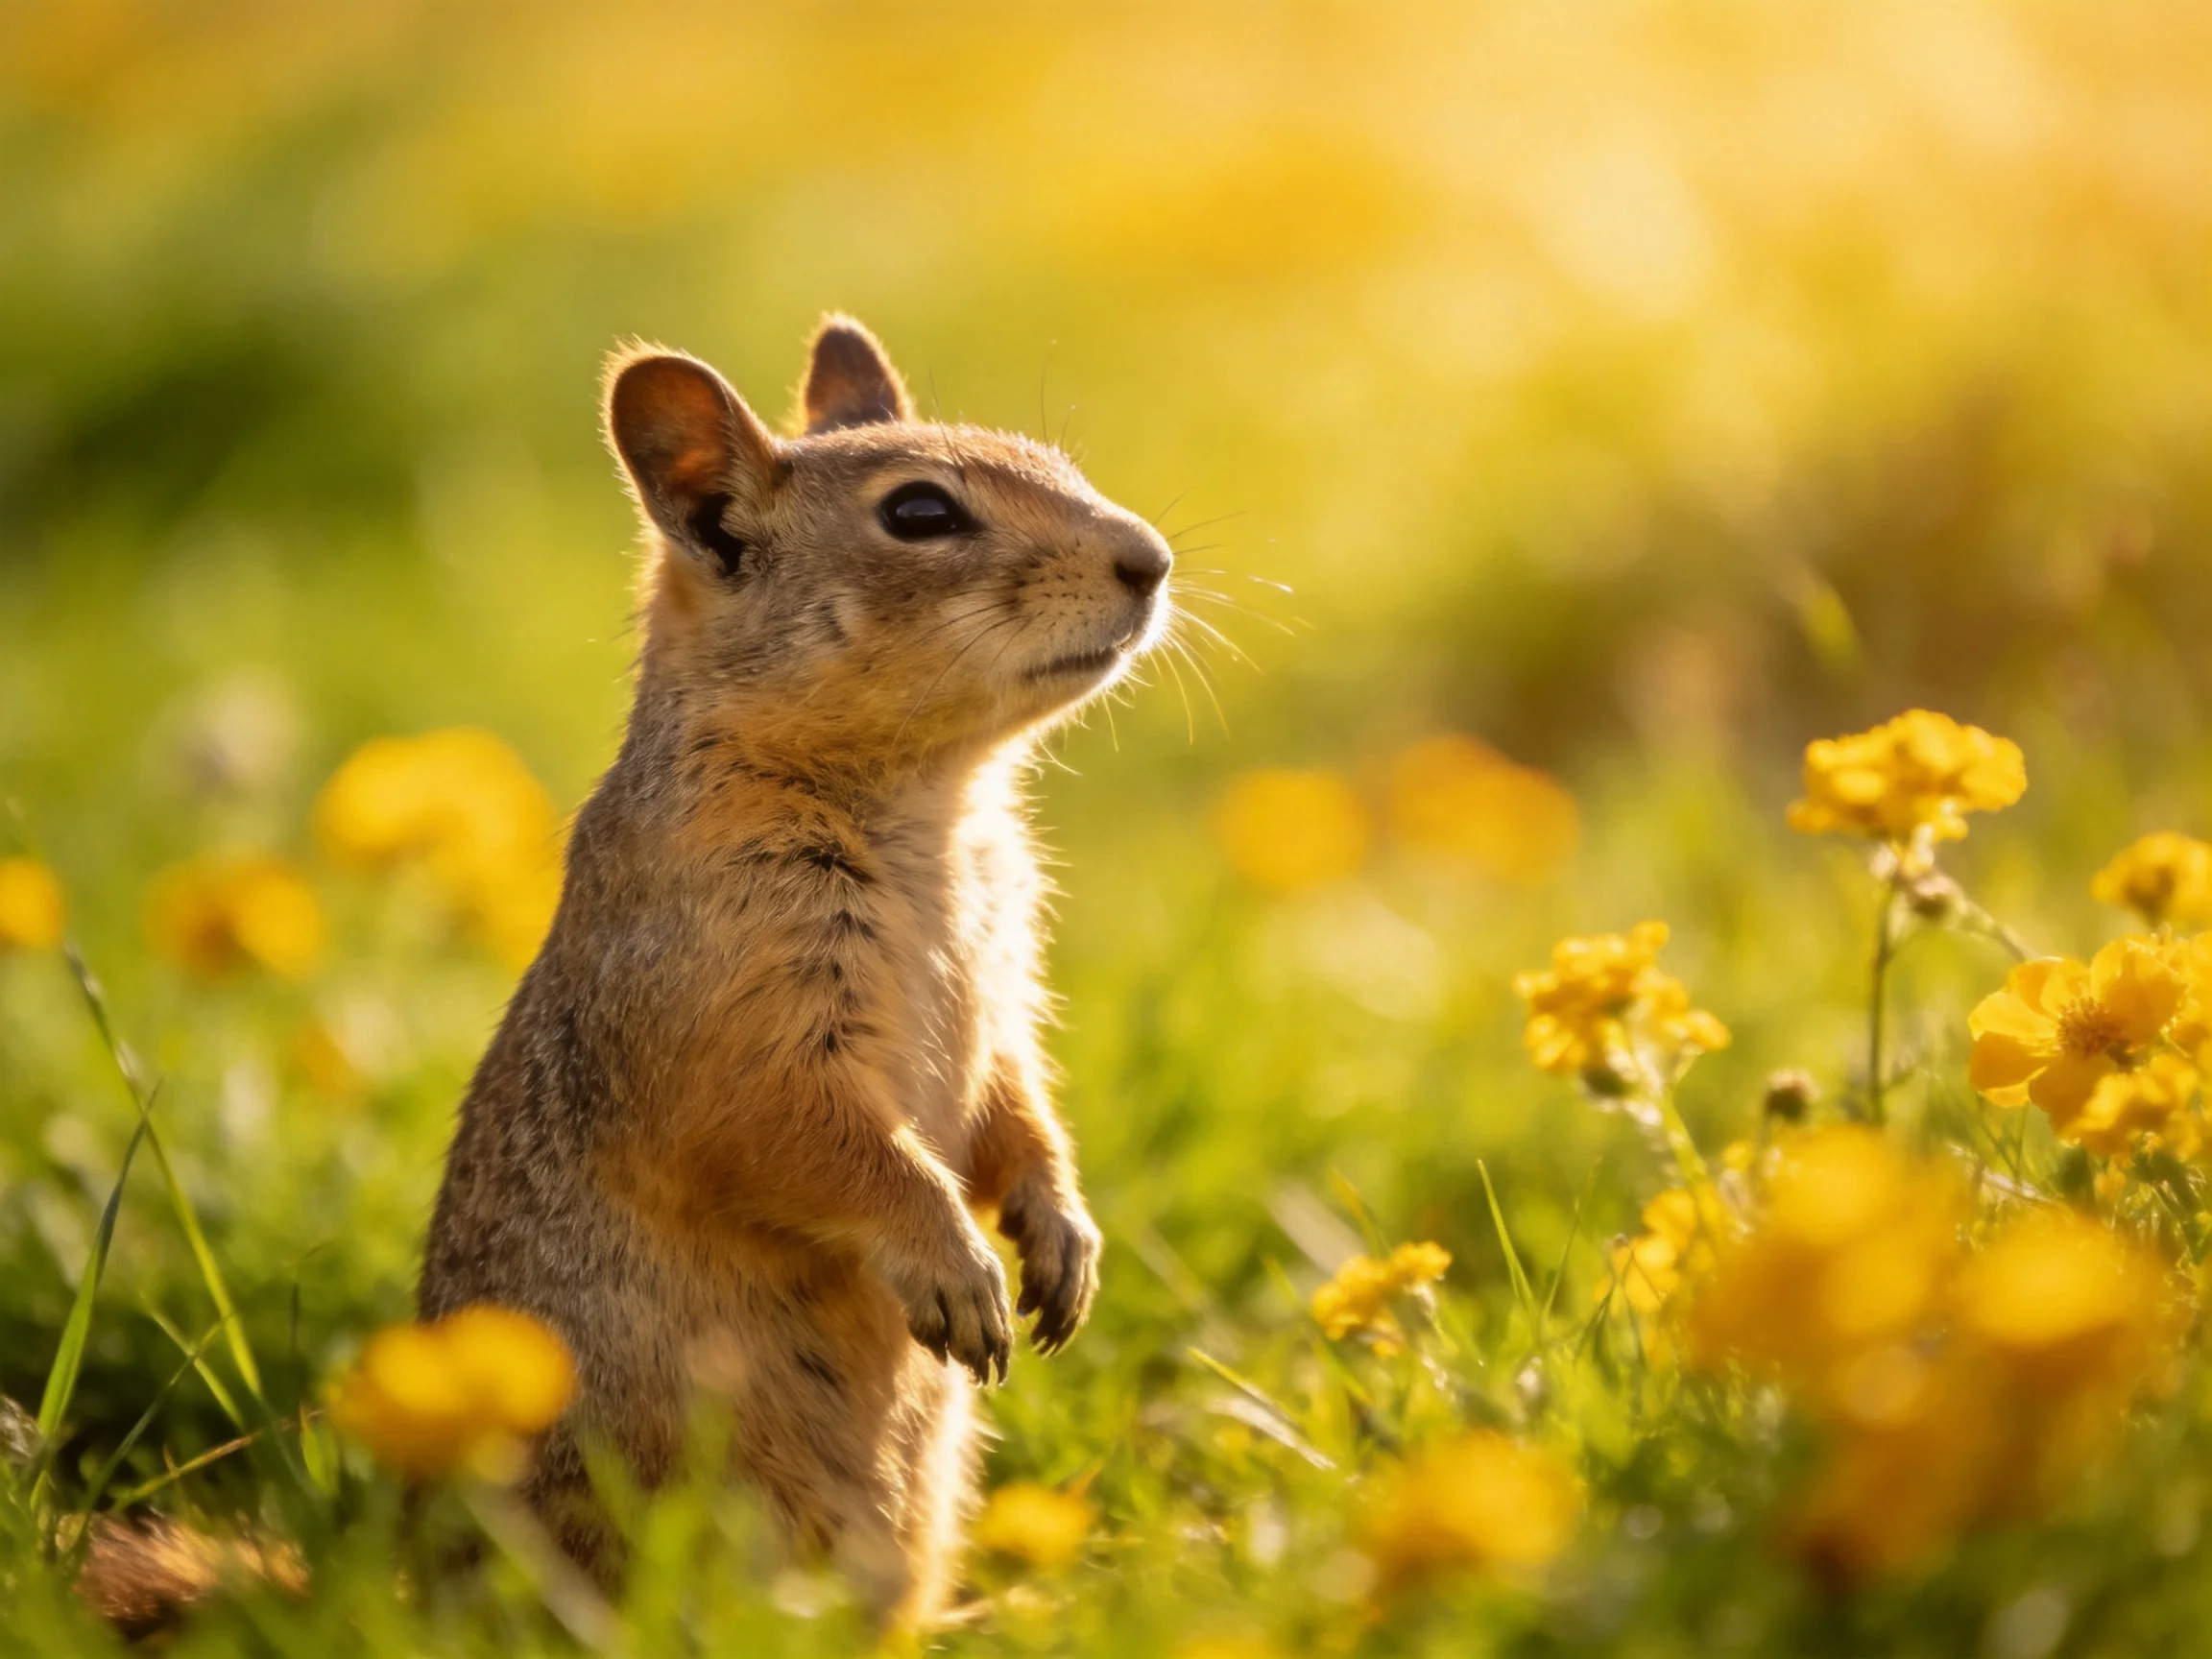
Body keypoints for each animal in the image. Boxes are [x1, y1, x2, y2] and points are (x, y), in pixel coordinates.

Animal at [415, 316, 1171, 1625]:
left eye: (1060, 462)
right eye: (919, 512)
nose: (1153, 559)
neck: (931, 802)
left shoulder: (1003, 986)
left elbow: (1016, 1103)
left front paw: (1063, 1240)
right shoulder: (734, 1005)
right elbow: (808, 1140)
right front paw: (956, 1264)